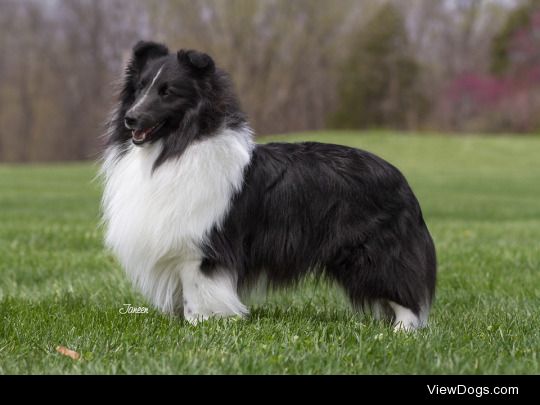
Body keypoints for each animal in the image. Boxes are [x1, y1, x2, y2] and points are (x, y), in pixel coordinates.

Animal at [102, 41, 438, 330]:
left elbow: (197, 292)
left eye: (167, 92)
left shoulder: (201, 249)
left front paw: (201, 325)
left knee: (405, 291)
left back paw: (402, 330)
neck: (178, 146)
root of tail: (402, 180)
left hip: (376, 253)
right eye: (140, 88)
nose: (131, 118)